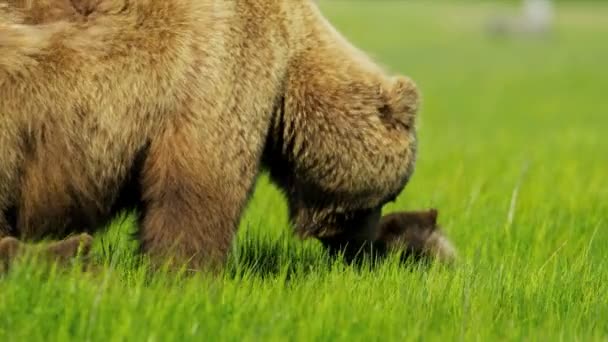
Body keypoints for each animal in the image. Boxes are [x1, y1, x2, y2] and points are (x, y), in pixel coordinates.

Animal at [0, 0, 418, 272]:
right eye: (390, 195)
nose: (366, 248)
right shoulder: (215, 68)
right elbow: (197, 194)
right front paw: (184, 274)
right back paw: (67, 254)